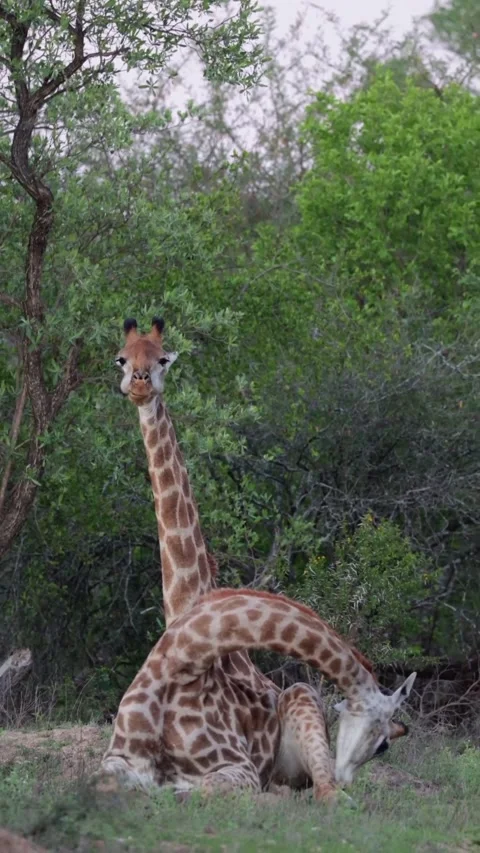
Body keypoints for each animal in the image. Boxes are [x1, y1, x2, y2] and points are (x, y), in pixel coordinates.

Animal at [102, 588, 415, 796]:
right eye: (383, 745)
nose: (346, 778)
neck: (179, 666)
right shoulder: (119, 758)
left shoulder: (242, 769)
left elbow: (202, 788)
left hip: (302, 696)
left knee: (323, 794)